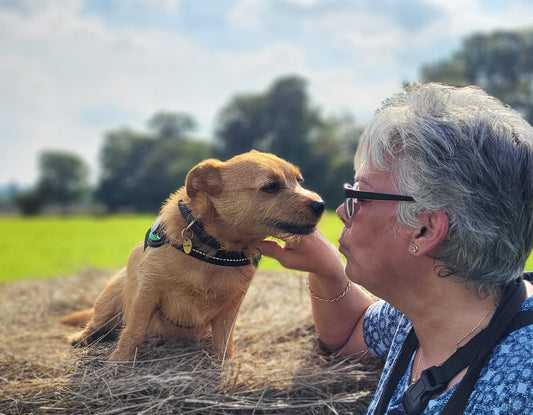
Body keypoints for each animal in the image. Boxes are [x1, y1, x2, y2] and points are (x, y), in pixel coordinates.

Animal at [63, 151, 324, 362]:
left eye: (299, 181)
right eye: (270, 186)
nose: (321, 204)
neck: (214, 252)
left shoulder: (230, 309)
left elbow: (225, 345)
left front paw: (226, 369)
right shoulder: (147, 293)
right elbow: (133, 331)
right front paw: (118, 363)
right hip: (107, 304)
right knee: (95, 325)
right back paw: (80, 338)